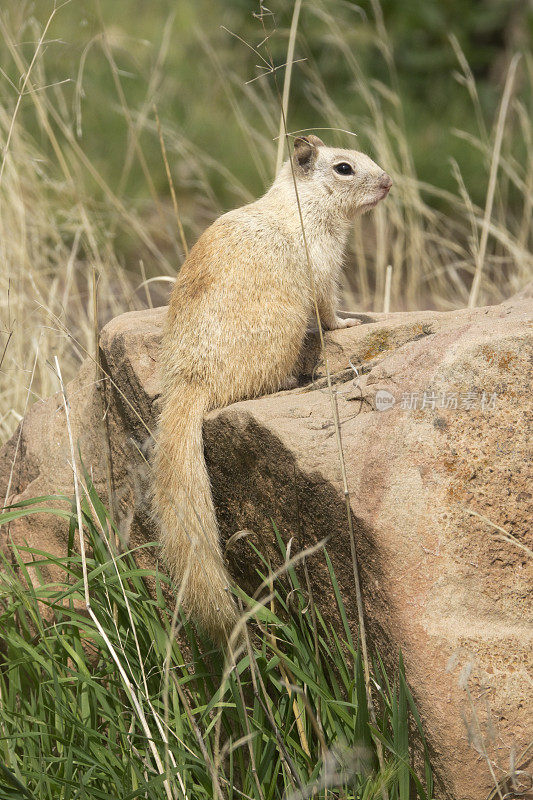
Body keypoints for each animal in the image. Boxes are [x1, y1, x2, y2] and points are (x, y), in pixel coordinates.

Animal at [154, 133, 390, 644]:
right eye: (344, 167)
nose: (388, 182)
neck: (302, 204)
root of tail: (188, 379)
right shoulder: (324, 268)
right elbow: (327, 308)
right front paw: (351, 321)